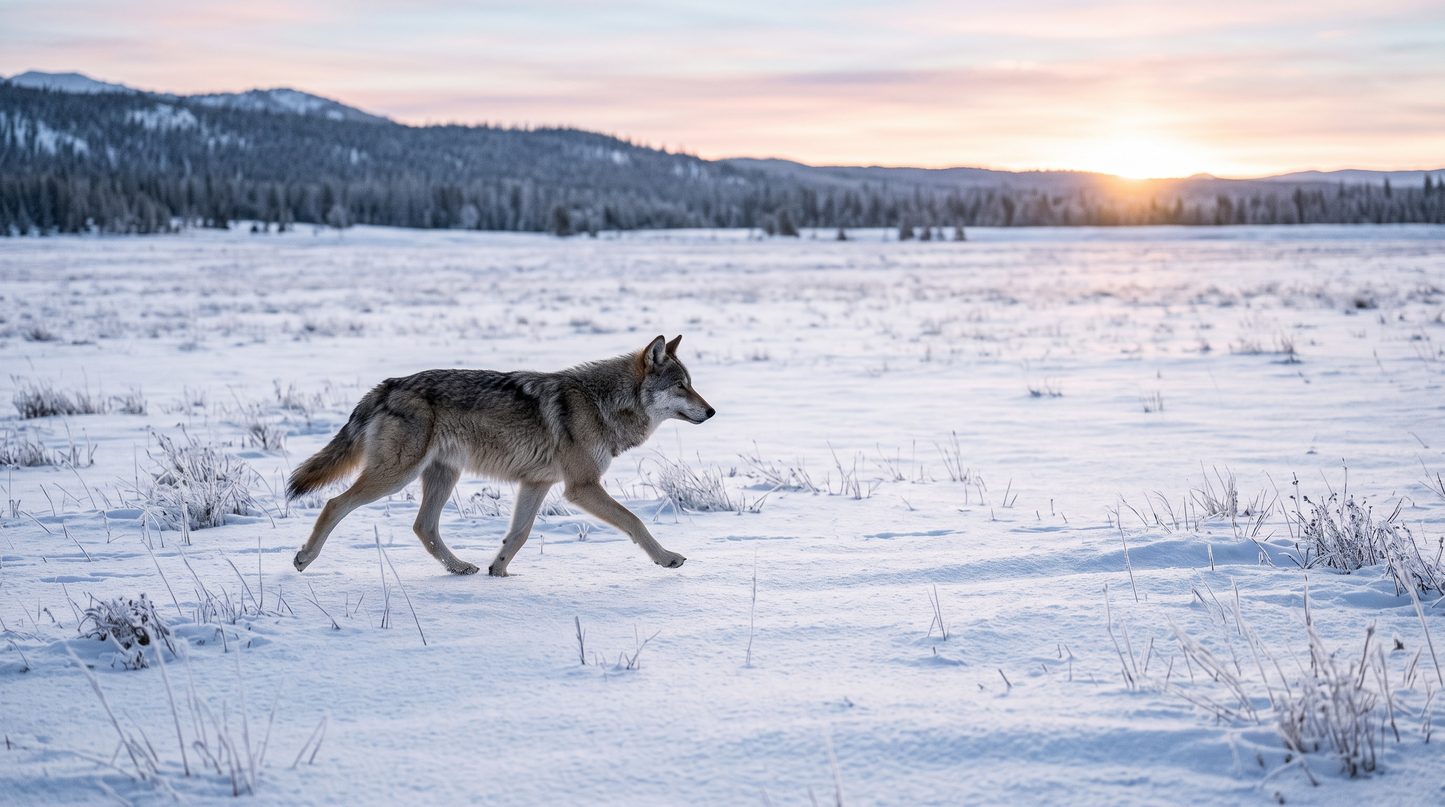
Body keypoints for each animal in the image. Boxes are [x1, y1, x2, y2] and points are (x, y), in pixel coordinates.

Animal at [286, 335, 714, 576]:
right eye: (681, 386)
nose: (711, 412)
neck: (602, 403)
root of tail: (387, 385)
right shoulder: (581, 487)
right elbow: (635, 522)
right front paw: (667, 558)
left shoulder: (536, 483)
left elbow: (519, 534)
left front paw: (499, 573)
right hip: (396, 476)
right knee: (335, 504)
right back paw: (304, 558)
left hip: (442, 476)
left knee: (424, 527)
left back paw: (460, 567)